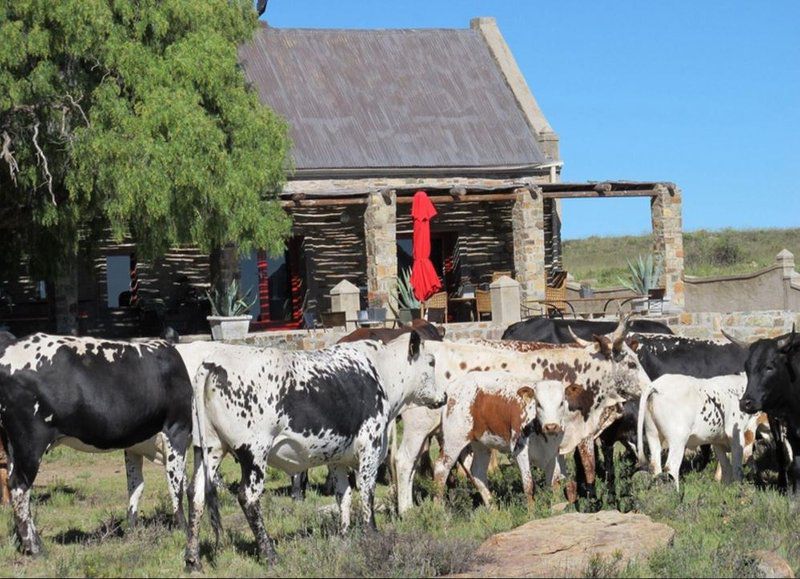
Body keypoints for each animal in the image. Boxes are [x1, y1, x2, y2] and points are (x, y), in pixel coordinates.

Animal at [0, 334, 192, 556]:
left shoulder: (134, 445)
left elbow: (136, 486)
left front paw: (132, 531)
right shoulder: (177, 429)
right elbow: (177, 485)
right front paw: (185, 530)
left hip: (12, 446)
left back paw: (23, 542)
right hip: (30, 443)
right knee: (19, 487)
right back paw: (36, 548)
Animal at [183, 330, 444, 572]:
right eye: (431, 362)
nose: (444, 396)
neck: (381, 371)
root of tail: (213, 362)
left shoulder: (338, 459)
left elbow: (344, 495)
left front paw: (345, 535)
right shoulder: (369, 449)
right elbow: (366, 493)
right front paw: (372, 534)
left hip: (208, 449)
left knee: (196, 495)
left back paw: (193, 560)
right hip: (254, 453)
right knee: (248, 497)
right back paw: (270, 555)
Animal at [636, 372, 764, 490]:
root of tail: (657, 384)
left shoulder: (718, 442)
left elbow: (726, 467)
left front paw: (726, 489)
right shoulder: (738, 437)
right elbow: (738, 468)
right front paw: (738, 490)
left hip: (652, 434)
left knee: (655, 467)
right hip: (678, 440)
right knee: (671, 468)